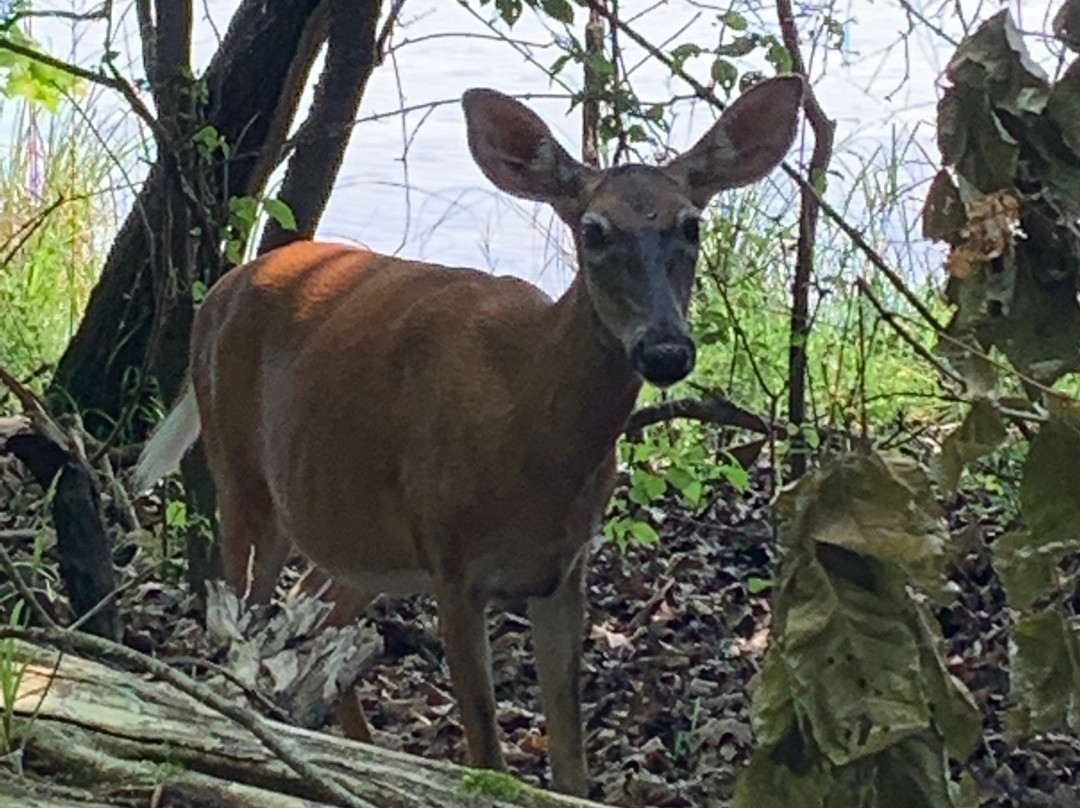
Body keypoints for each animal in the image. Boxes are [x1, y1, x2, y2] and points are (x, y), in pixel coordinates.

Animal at [135, 75, 807, 795]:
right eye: (593, 231)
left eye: (691, 223)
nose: (665, 349)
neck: (528, 440)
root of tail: (220, 287)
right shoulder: (453, 561)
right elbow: (487, 755)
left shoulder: (563, 567)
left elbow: (570, 763)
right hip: (241, 474)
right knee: (239, 617)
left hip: (356, 532)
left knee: (311, 618)